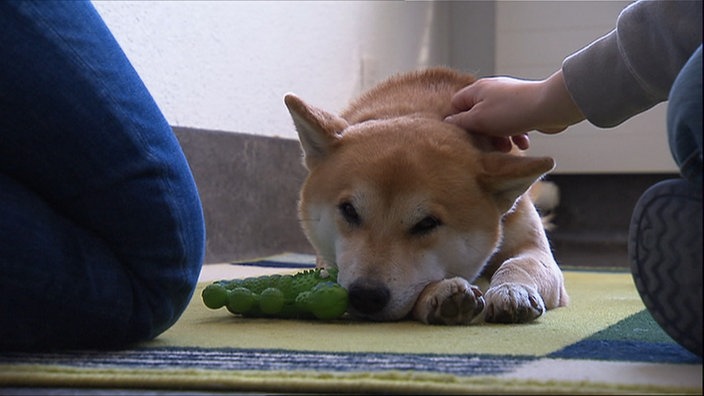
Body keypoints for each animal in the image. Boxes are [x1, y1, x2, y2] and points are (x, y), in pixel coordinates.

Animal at [284, 67, 568, 324]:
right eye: (349, 211)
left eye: (427, 223)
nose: (365, 296)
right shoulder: (326, 263)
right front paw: (441, 295)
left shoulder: (533, 248)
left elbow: (520, 264)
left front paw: (511, 290)